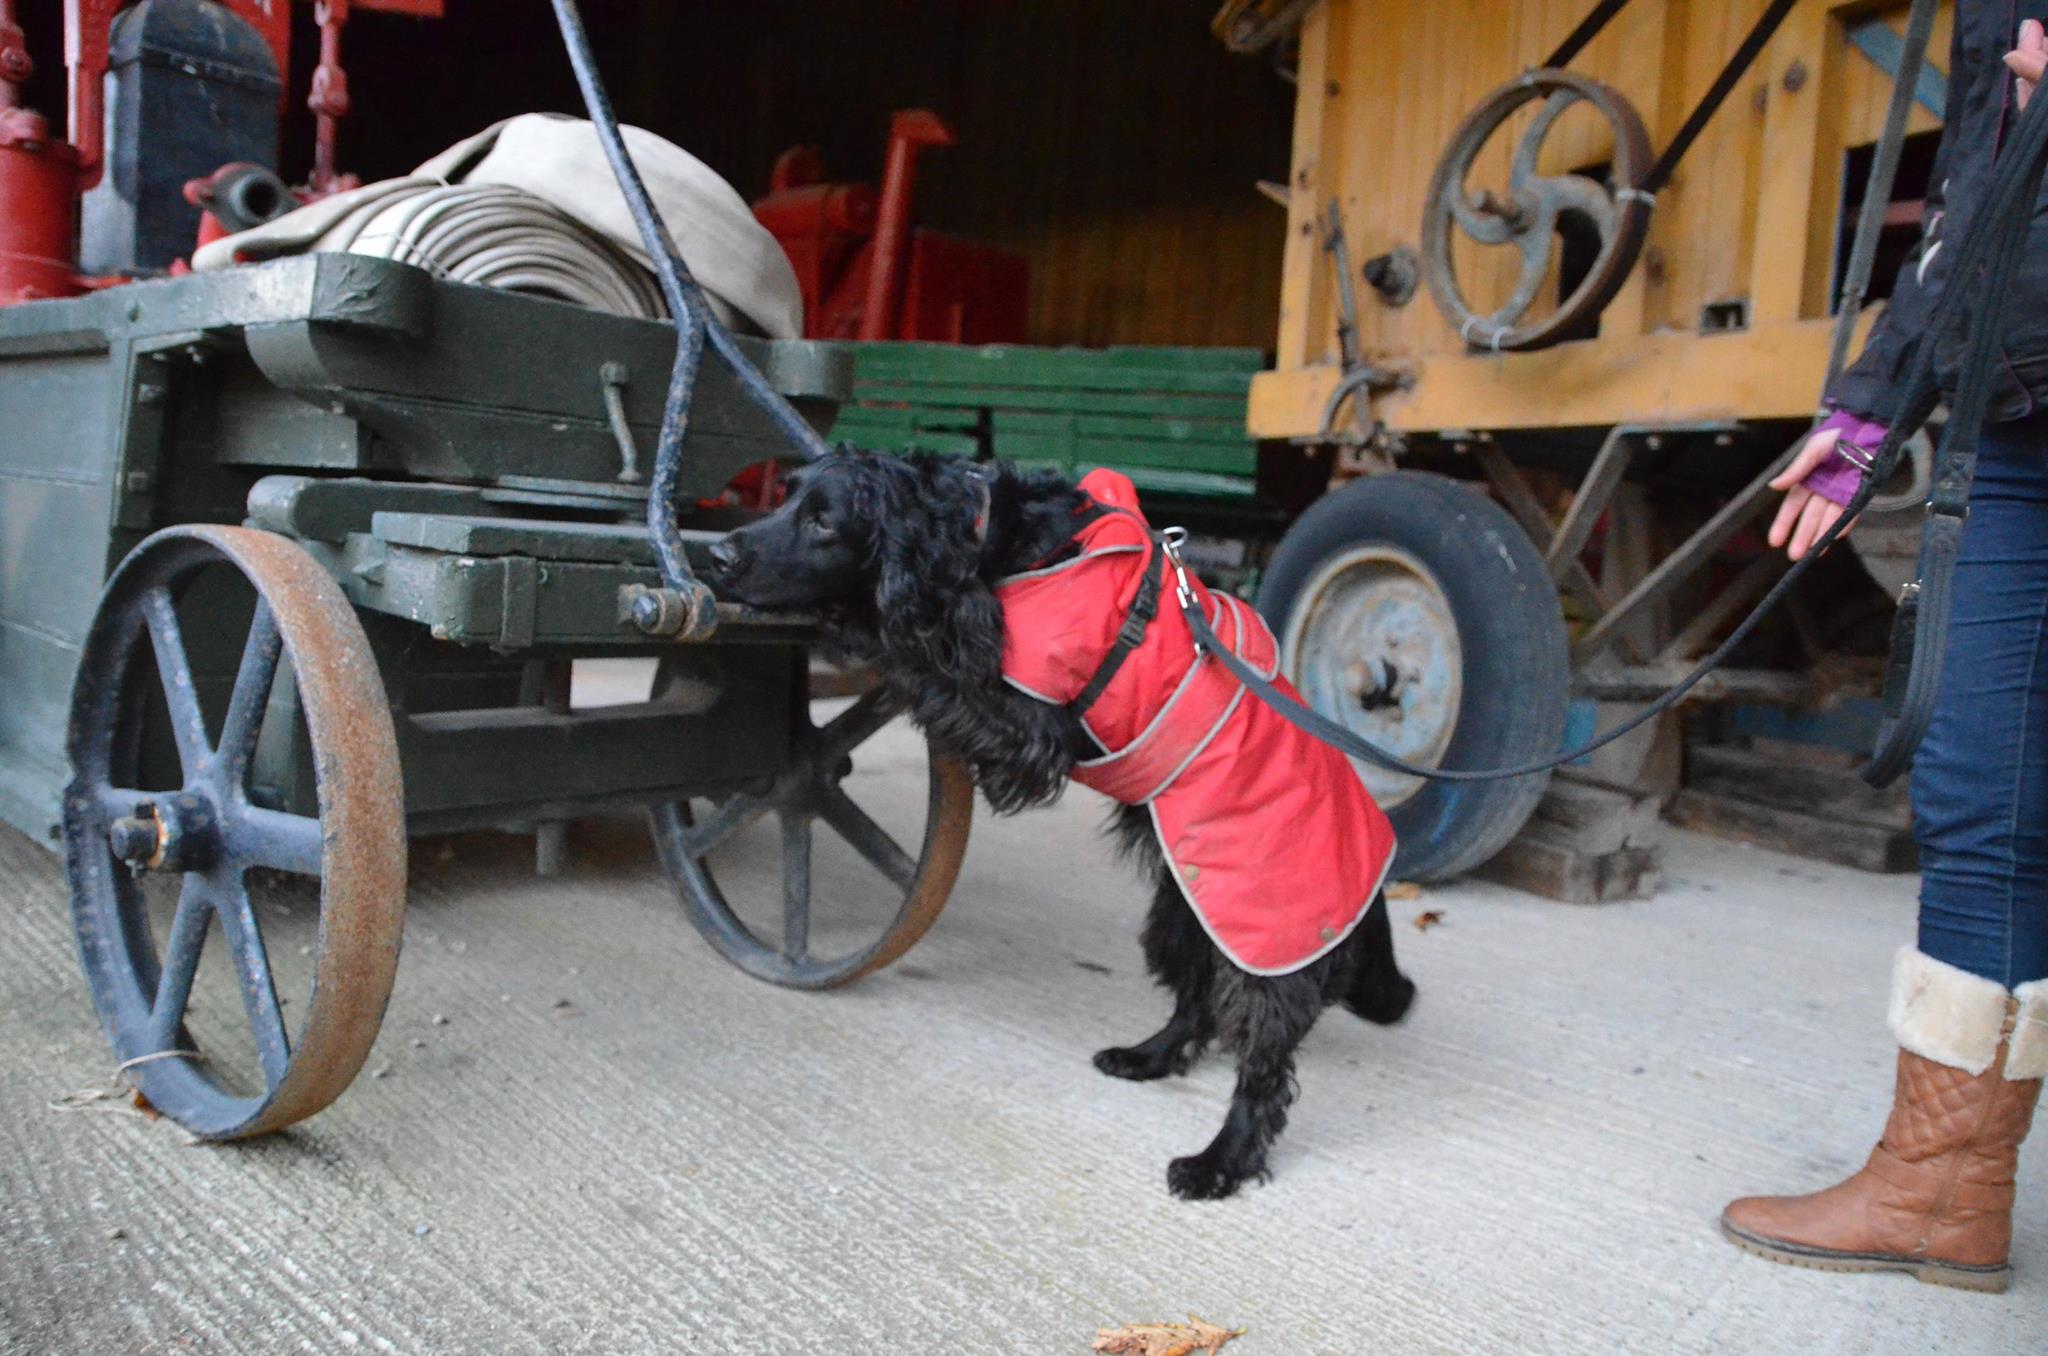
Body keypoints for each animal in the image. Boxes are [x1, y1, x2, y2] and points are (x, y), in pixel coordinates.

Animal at [712, 450, 1417, 1196]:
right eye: (786, 497)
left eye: (825, 521)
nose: (719, 554)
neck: (999, 539)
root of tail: (1377, 881)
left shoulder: (1028, 734)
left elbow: (918, 660)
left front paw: (850, 619)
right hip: (1183, 917)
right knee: (1195, 1005)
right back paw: (1148, 1057)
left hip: (1267, 943)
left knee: (1263, 1065)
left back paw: (1218, 1160)